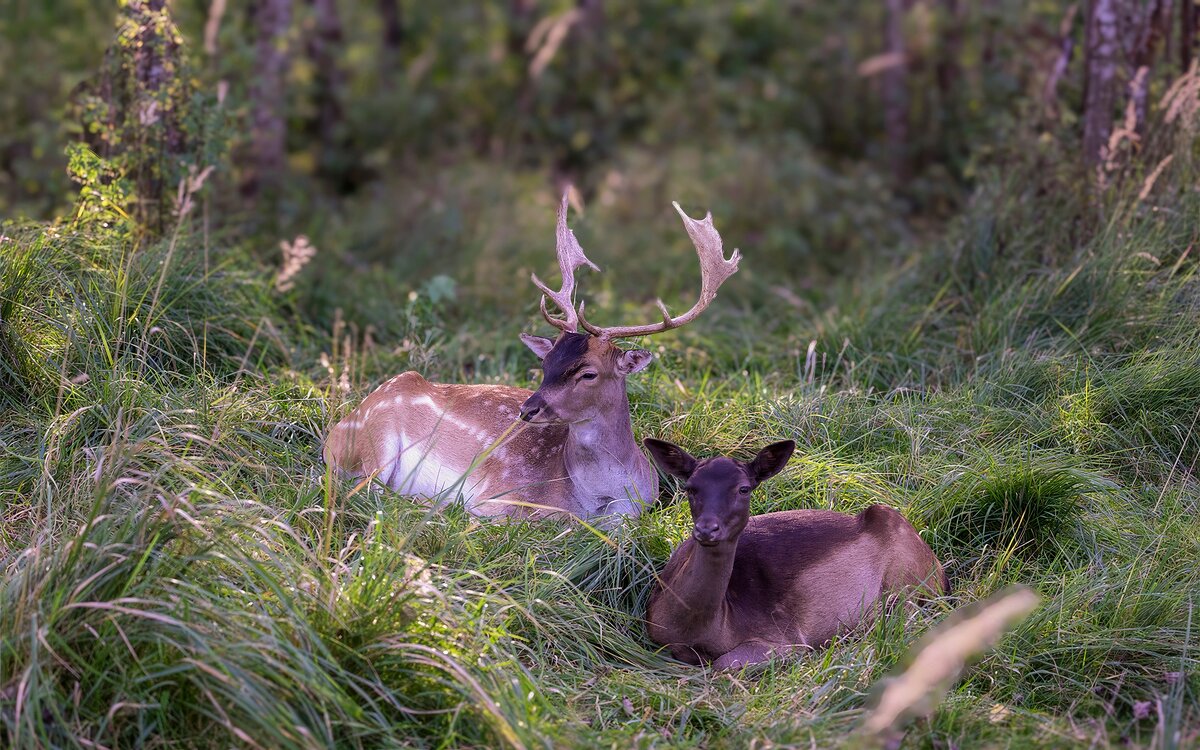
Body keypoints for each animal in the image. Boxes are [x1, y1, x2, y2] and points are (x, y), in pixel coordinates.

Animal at [326, 195, 739, 523]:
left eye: (588, 374)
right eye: (546, 364)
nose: (528, 409)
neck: (595, 500)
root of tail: (333, 434)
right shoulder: (498, 497)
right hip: (374, 442)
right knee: (362, 492)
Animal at [643, 436, 950, 672]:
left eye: (744, 488)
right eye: (690, 487)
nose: (707, 529)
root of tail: (940, 569)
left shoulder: (785, 636)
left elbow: (724, 663)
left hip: (909, 582)